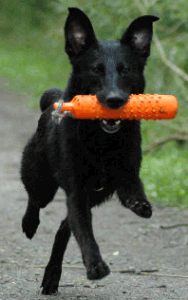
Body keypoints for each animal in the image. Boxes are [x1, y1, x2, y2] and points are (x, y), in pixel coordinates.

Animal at [20, 7, 159, 296]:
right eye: (96, 70)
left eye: (126, 70)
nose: (115, 100)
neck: (102, 141)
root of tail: (51, 100)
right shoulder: (76, 191)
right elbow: (85, 233)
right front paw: (96, 266)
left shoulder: (125, 176)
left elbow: (133, 190)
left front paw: (140, 204)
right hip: (41, 179)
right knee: (36, 201)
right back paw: (29, 225)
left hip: (97, 195)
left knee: (63, 227)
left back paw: (52, 275)